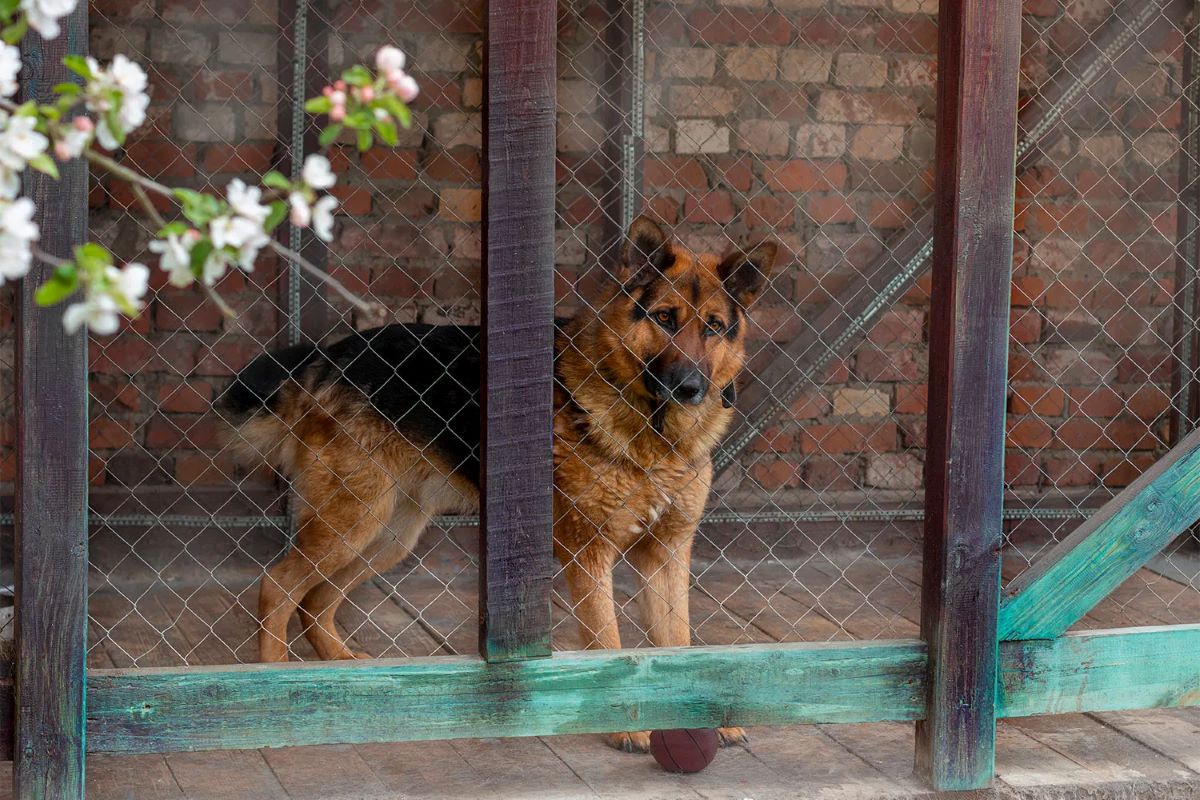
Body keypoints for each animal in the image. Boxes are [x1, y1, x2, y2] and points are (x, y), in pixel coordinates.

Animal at [220, 215, 777, 753]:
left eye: (714, 327)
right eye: (664, 318)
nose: (690, 388)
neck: (654, 435)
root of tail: (332, 354)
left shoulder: (666, 554)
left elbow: (678, 639)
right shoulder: (588, 554)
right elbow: (608, 641)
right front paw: (626, 726)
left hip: (388, 535)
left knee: (315, 603)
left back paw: (339, 667)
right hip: (354, 520)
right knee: (277, 586)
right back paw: (272, 687)